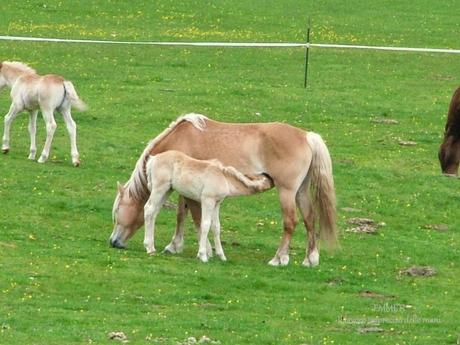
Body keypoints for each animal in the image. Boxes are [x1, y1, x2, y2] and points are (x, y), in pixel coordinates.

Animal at [143, 150, 274, 260]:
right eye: (268, 179)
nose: (272, 177)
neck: (223, 178)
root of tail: (153, 159)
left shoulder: (216, 204)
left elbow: (216, 227)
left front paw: (222, 256)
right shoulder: (207, 201)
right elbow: (205, 224)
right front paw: (202, 255)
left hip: (167, 190)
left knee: (154, 212)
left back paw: (151, 246)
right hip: (159, 188)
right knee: (149, 209)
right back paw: (149, 248)